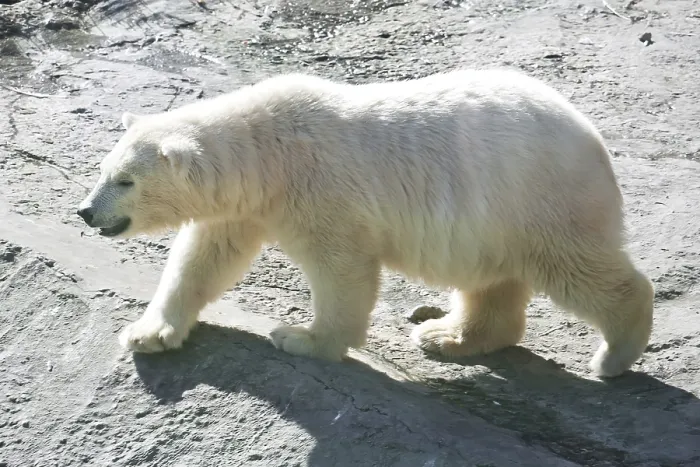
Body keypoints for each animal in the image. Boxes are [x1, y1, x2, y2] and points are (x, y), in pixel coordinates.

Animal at [77, 69, 654, 378]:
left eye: (125, 180)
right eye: (104, 170)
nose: (85, 211)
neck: (267, 153)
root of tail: (591, 137)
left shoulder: (322, 191)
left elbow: (341, 268)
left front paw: (301, 339)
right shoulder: (244, 207)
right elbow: (203, 258)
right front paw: (147, 333)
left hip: (537, 197)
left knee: (579, 268)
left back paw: (613, 356)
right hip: (493, 217)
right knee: (492, 279)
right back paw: (445, 335)